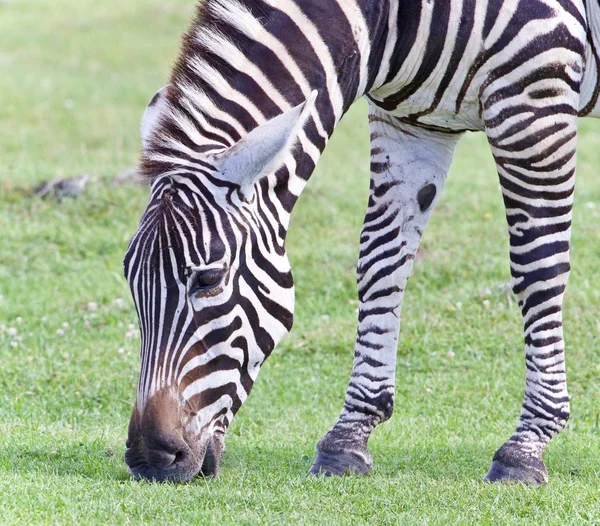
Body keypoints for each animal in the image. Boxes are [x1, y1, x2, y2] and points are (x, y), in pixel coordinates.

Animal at [123, 0, 600, 486]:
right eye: (130, 279)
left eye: (209, 279)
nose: (150, 459)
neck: (392, 21)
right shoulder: (411, 123)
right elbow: (381, 262)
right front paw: (348, 438)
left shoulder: (534, 98)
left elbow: (538, 269)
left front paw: (527, 446)